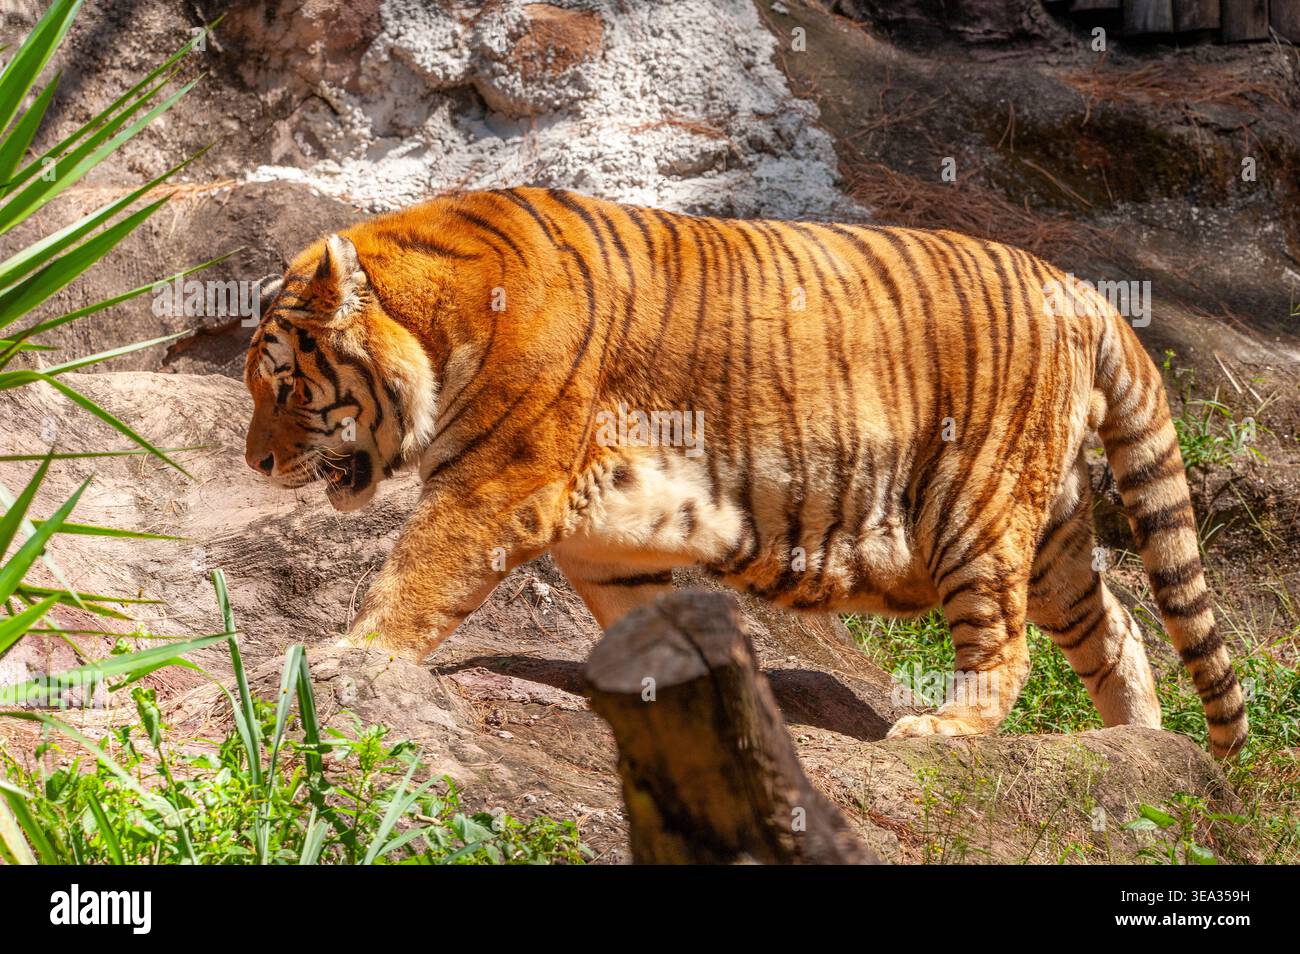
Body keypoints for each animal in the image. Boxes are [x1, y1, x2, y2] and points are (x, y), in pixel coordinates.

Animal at [243, 186, 1247, 758]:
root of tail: (1079, 288)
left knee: (1008, 645)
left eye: (283, 384)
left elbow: (411, 578)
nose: (256, 462)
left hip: (977, 507)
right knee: (1116, 624)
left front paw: (344, 658)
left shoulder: (494, 489)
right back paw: (1144, 749)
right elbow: (640, 614)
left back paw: (943, 730)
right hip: (1052, 535)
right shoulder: (601, 540)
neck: (443, 319)